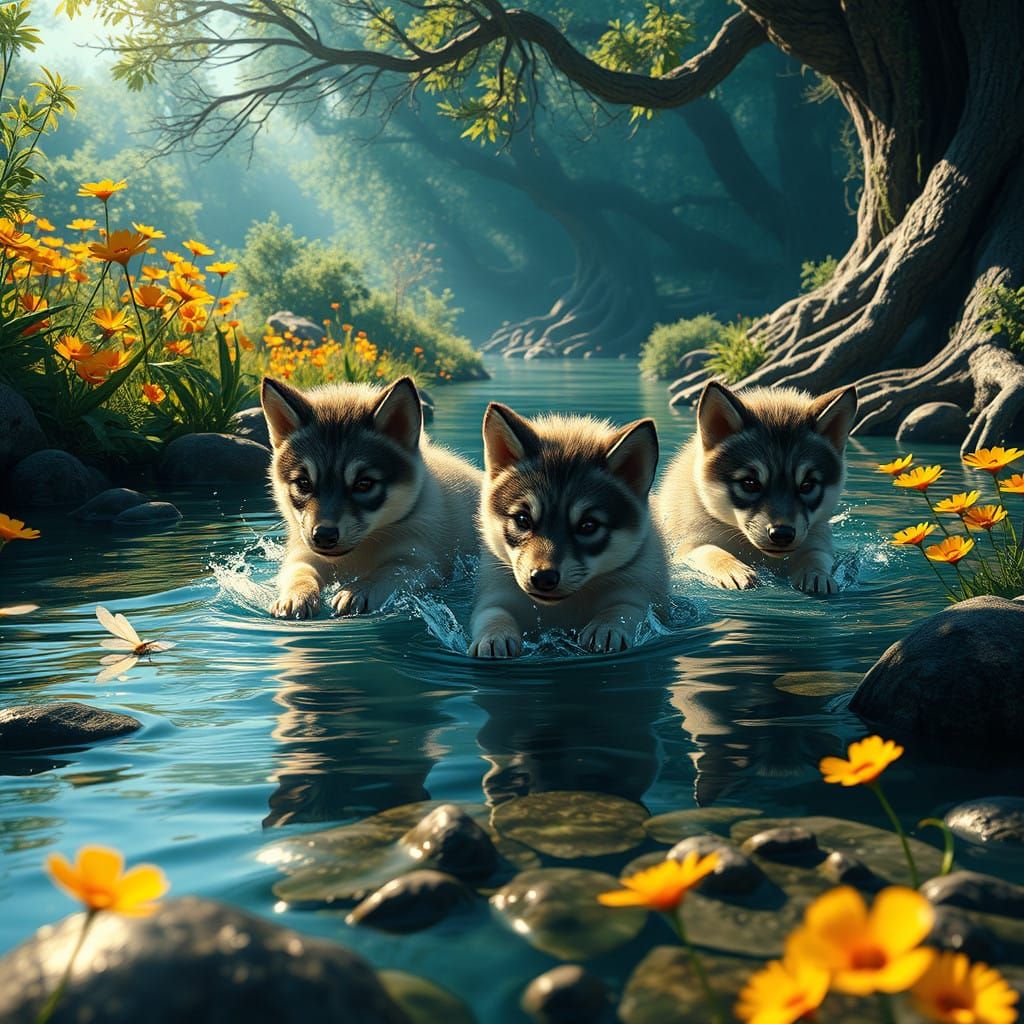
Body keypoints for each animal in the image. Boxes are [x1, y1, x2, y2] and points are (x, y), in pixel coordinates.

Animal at [261, 375, 481, 619]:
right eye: (304, 483)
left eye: (364, 484)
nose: (324, 536)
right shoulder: (303, 551)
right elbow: (299, 570)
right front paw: (296, 595)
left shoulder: (422, 562)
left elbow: (391, 571)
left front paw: (358, 590)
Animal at [469, 403, 669, 657]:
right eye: (523, 519)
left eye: (588, 525)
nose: (543, 578)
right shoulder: (496, 591)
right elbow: (492, 612)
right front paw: (495, 635)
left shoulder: (639, 587)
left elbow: (626, 608)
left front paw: (607, 627)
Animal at [656, 381, 858, 594]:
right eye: (750, 483)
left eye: (807, 485)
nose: (782, 534)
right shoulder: (688, 543)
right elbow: (709, 551)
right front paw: (733, 569)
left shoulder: (816, 538)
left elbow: (815, 555)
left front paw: (816, 574)